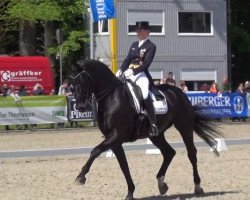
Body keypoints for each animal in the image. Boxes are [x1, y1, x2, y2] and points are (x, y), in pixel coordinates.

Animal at [70, 59, 221, 200]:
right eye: (71, 84)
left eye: (82, 81)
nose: (80, 107)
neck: (111, 98)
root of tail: (179, 91)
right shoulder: (114, 140)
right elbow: (124, 165)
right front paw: (130, 192)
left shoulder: (116, 135)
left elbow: (95, 151)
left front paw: (80, 177)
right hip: (156, 135)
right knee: (169, 153)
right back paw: (162, 184)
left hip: (184, 127)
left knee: (191, 153)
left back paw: (198, 186)